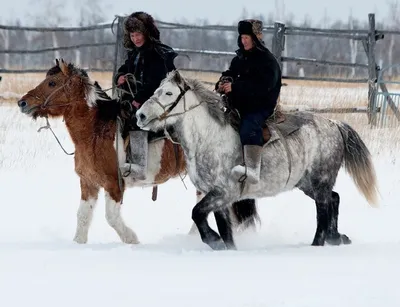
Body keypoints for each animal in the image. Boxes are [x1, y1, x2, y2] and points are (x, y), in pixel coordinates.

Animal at [17, 59, 260, 244]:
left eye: (51, 82)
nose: (22, 103)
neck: (96, 132)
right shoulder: (89, 183)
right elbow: (83, 216)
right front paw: (78, 244)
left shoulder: (114, 185)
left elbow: (111, 217)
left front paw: (132, 239)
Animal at [136, 71, 380, 251]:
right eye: (156, 90)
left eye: (168, 93)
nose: (140, 116)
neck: (209, 137)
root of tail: (334, 124)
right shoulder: (217, 198)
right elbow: (223, 229)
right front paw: (225, 247)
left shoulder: (223, 192)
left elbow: (197, 213)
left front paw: (212, 239)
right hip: (306, 183)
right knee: (334, 199)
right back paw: (336, 237)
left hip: (320, 181)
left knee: (323, 209)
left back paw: (318, 243)